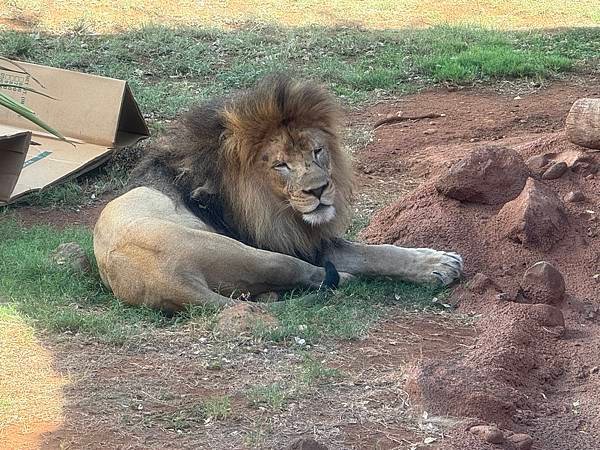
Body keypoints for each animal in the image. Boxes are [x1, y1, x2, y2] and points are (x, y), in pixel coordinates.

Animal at [94, 74, 462, 312]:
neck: (271, 203)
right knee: (309, 273)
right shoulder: (284, 241)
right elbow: (371, 253)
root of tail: (170, 282)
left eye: (317, 152)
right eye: (281, 165)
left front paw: (437, 263)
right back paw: (344, 278)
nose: (318, 190)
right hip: (246, 252)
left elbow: (376, 251)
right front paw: (439, 264)